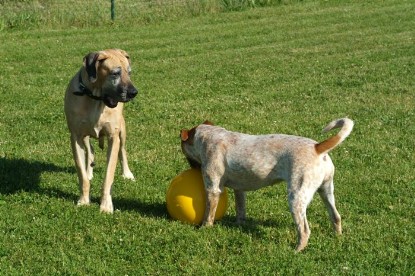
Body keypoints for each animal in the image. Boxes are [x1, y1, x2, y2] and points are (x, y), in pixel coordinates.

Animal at [63, 49, 138, 213]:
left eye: (129, 73)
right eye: (115, 73)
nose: (134, 92)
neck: (95, 99)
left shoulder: (113, 137)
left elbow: (108, 176)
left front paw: (106, 205)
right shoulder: (75, 137)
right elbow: (81, 174)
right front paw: (84, 200)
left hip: (122, 130)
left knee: (122, 151)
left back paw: (127, 173)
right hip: (85, 136)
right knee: (90, 151)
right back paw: (89, 172)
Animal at [181, 117, 354, 251]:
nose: (192, 169)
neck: (209, 136)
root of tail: (318, 147)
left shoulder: (213, 188)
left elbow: (209, 213)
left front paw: (204, 228)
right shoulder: (239, 190)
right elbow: (240, 209)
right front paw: (239, 225)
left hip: (296, 197)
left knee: (304, 230)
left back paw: (296, 250)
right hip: (326, 191)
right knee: (336, 216)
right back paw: (337, 238)